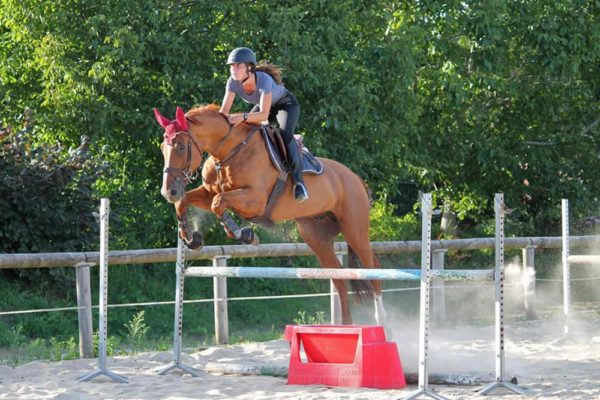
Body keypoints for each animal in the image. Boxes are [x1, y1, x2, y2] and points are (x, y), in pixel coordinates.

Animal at [155, 104, 386, 324]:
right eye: (162, 148)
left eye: (181, 147)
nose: (168, 192)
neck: (229, 152)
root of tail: (356, 178)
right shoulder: (208, 192)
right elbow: (188, 201)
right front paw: (190, 237)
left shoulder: (254, 201)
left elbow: (218, 203)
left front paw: (244, 234)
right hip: (316, 237)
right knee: (339, 276)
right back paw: (346, 326)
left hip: (354, 230)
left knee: (373, 268)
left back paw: (382, 323)